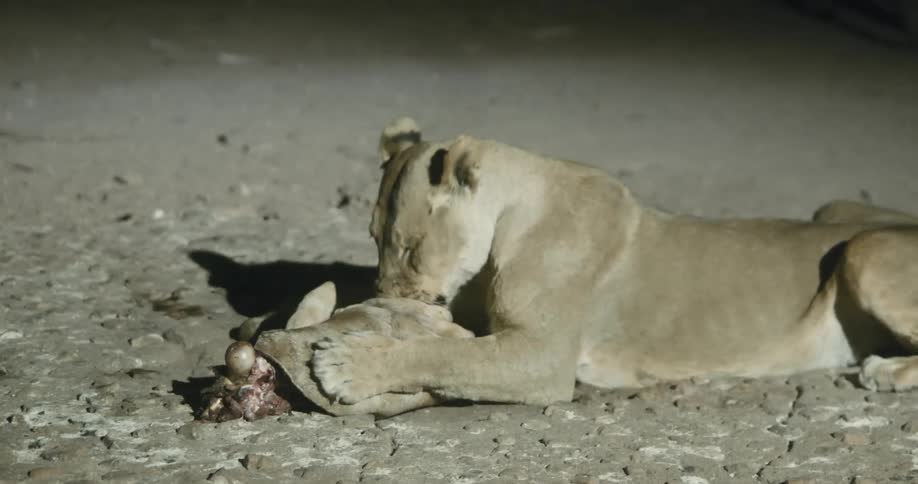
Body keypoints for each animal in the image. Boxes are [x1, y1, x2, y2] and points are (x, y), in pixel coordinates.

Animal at [311, 117, 918, 408]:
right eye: (372, 238)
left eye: (411, 246)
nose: (383, 296)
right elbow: (447, 344)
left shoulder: (545, 359)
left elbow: (441, 355)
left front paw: (347, 363)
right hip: (833, 208)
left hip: (866, 248)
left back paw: (885, 370)